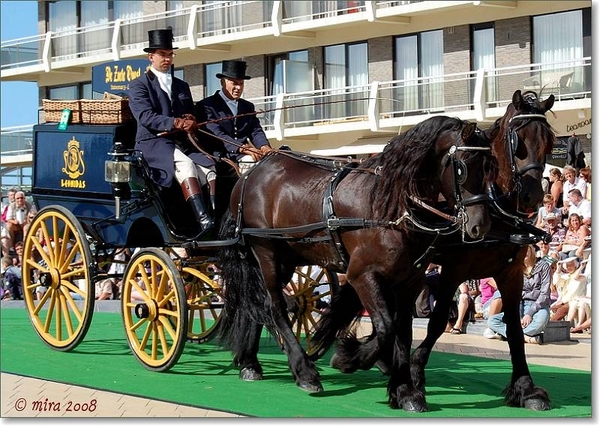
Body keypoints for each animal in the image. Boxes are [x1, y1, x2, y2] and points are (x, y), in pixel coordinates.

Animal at [216, 115, 496, 410]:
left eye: (491, 167)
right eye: (463, 167)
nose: (480, 226)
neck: (390, 209)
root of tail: (250, 174)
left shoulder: (410, 281)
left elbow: (403, 333)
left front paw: (405, 390)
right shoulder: (363, 276)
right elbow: (385, 328)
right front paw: (350, 358)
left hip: (287, 258)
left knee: (257, 303)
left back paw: (251, 363)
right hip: (266, 251)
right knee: (275, 306)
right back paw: (303, 370)